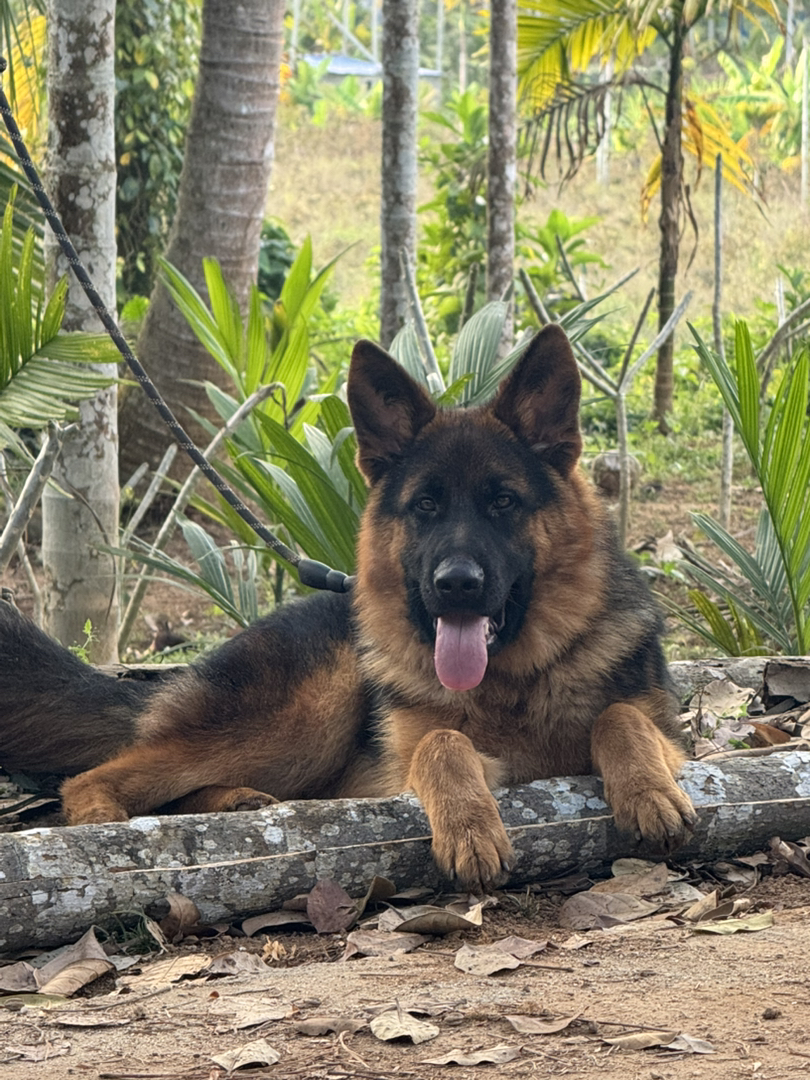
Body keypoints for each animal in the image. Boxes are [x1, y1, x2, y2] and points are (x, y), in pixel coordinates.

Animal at [0, 325, 696, 891]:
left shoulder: (673, 740)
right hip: (311, 710)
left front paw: (648, 790)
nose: (456, 584)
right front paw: (469, 826)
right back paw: (109, 827)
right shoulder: (410, 761)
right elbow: (441, 741)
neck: (513, 683)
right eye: (425, 506)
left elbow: (621, 717)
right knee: (89, 780)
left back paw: (233, 803)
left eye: (503, 502)